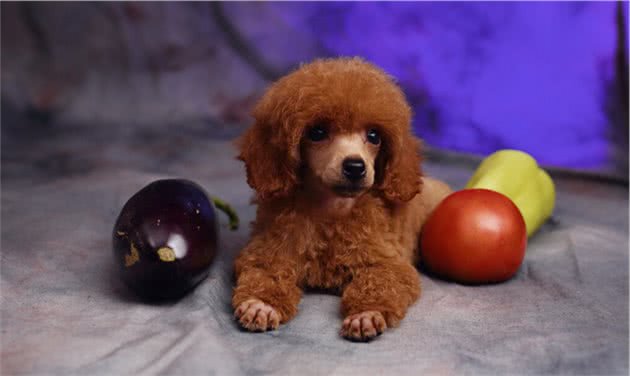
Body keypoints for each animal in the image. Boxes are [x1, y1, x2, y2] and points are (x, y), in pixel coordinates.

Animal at [235, 56, 452, 340]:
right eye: (316, 132)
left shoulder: (389, 264)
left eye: (374, 136)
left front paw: (366, 313)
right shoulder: (269, 251)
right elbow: (265, 273)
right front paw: (262, 304)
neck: (331, 211)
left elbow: (380, 282)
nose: (355, 167)